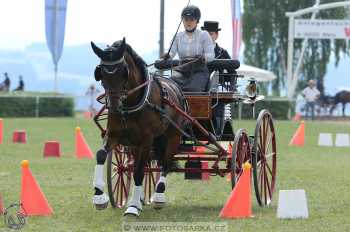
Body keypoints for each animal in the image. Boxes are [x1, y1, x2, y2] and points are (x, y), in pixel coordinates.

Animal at [91, 38, 187, 218]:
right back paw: (142, 197)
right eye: (101, 73)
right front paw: (99, 196)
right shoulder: (113, 135)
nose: (114, 107)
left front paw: (133, 207)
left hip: (173, 135)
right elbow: (101, 155)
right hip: (135, 144)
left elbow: (138, 172)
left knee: (165, 163)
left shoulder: (146, 140)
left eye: (124, 72)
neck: (130, 105)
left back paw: (158, 197)